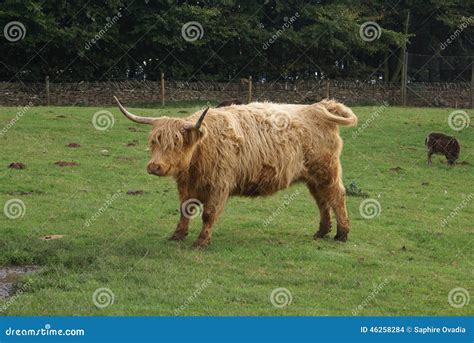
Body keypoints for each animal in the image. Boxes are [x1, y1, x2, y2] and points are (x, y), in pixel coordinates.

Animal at [115, 97, 358, 247]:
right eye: (154, 141)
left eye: (176, 142)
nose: (154, 166)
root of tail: (318, 107)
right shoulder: (186, 186)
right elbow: (185, 210)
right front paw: (177, 235)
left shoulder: (219, 184)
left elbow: (208, 213)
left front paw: (201, 242)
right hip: (312, 177)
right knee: (322, 200)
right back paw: (322, 232)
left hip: (327, 170)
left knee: (336, 196)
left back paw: (342, 234)